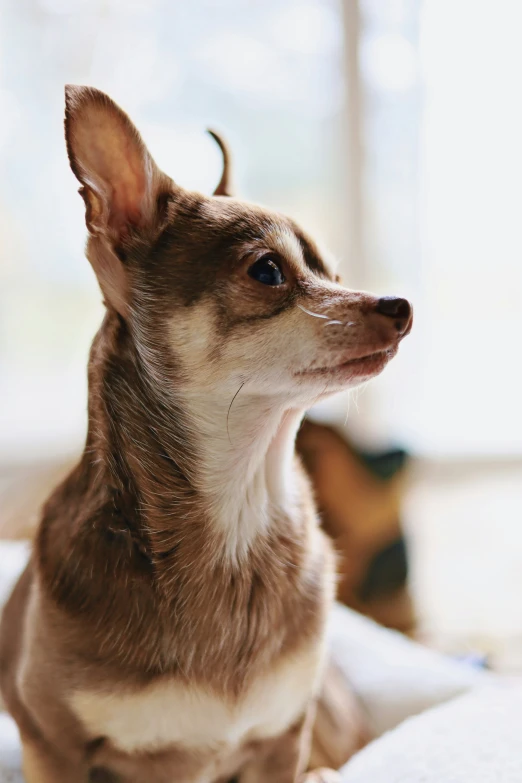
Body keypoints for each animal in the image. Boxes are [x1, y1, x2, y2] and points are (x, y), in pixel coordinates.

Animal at [0, 87, 410, 783]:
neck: (243, 504)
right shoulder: (49, 744)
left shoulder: (283, 737)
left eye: (332, 273)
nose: (400, 307)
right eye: (268, 272)